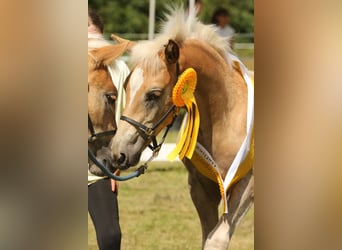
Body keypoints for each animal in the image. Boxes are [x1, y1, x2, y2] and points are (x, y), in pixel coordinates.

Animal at [109, 8, 254, 249]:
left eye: (154, 94)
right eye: (126, 86)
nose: (118, 153)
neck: (226, 119)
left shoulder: (246, 185)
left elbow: (216, 239)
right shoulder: (200, 187)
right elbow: (207, 236)